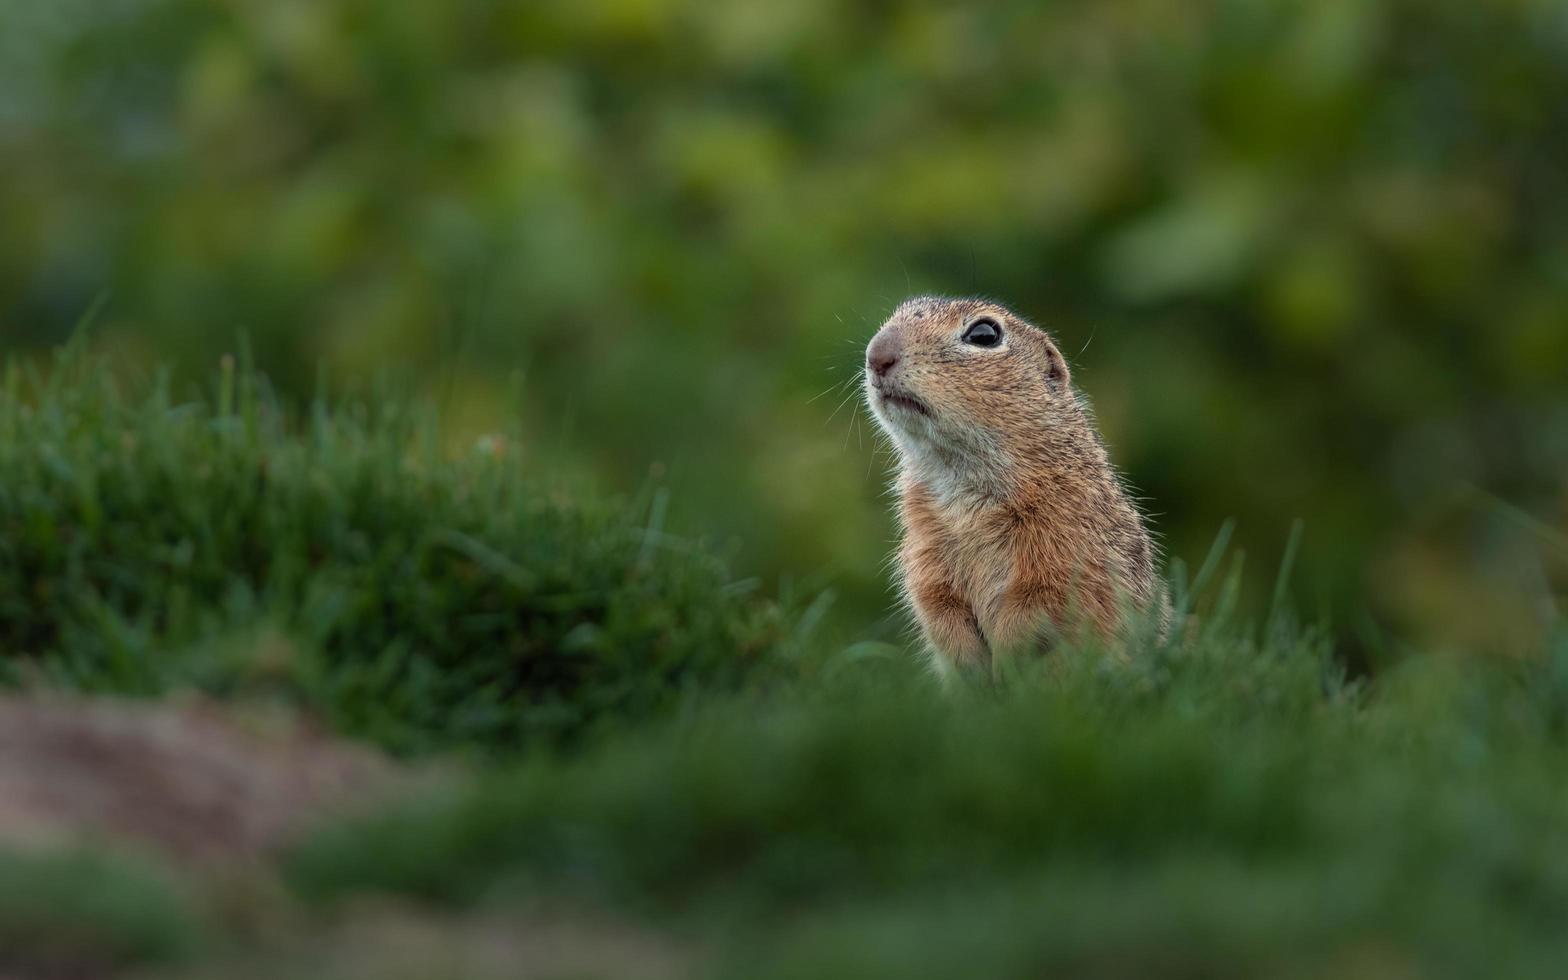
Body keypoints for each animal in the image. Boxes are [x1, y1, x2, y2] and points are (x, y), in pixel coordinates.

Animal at [859, 294, 1166, 671]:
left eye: (984, 334)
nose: (877, 354)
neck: (962, 480)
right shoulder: (925, 553)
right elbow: (937, 606)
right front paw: (973, 666)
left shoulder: (1065, 545)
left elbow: (1037, 607)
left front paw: (1007, 665)